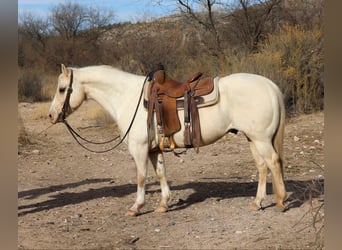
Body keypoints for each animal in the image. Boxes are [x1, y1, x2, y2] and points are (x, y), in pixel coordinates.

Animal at [48, 63, 288, 216]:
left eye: (62, 89)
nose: (51, 115)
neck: (127, 97)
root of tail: (270, 85)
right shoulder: (154, 150)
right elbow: (161, 174)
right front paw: (163, 204)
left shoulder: (139, 148)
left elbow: (141, 177)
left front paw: (136, 207)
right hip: (253, 138)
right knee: (262, 166)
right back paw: (257, 203)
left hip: (261, 139)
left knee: (273, 162)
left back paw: (280, 200)